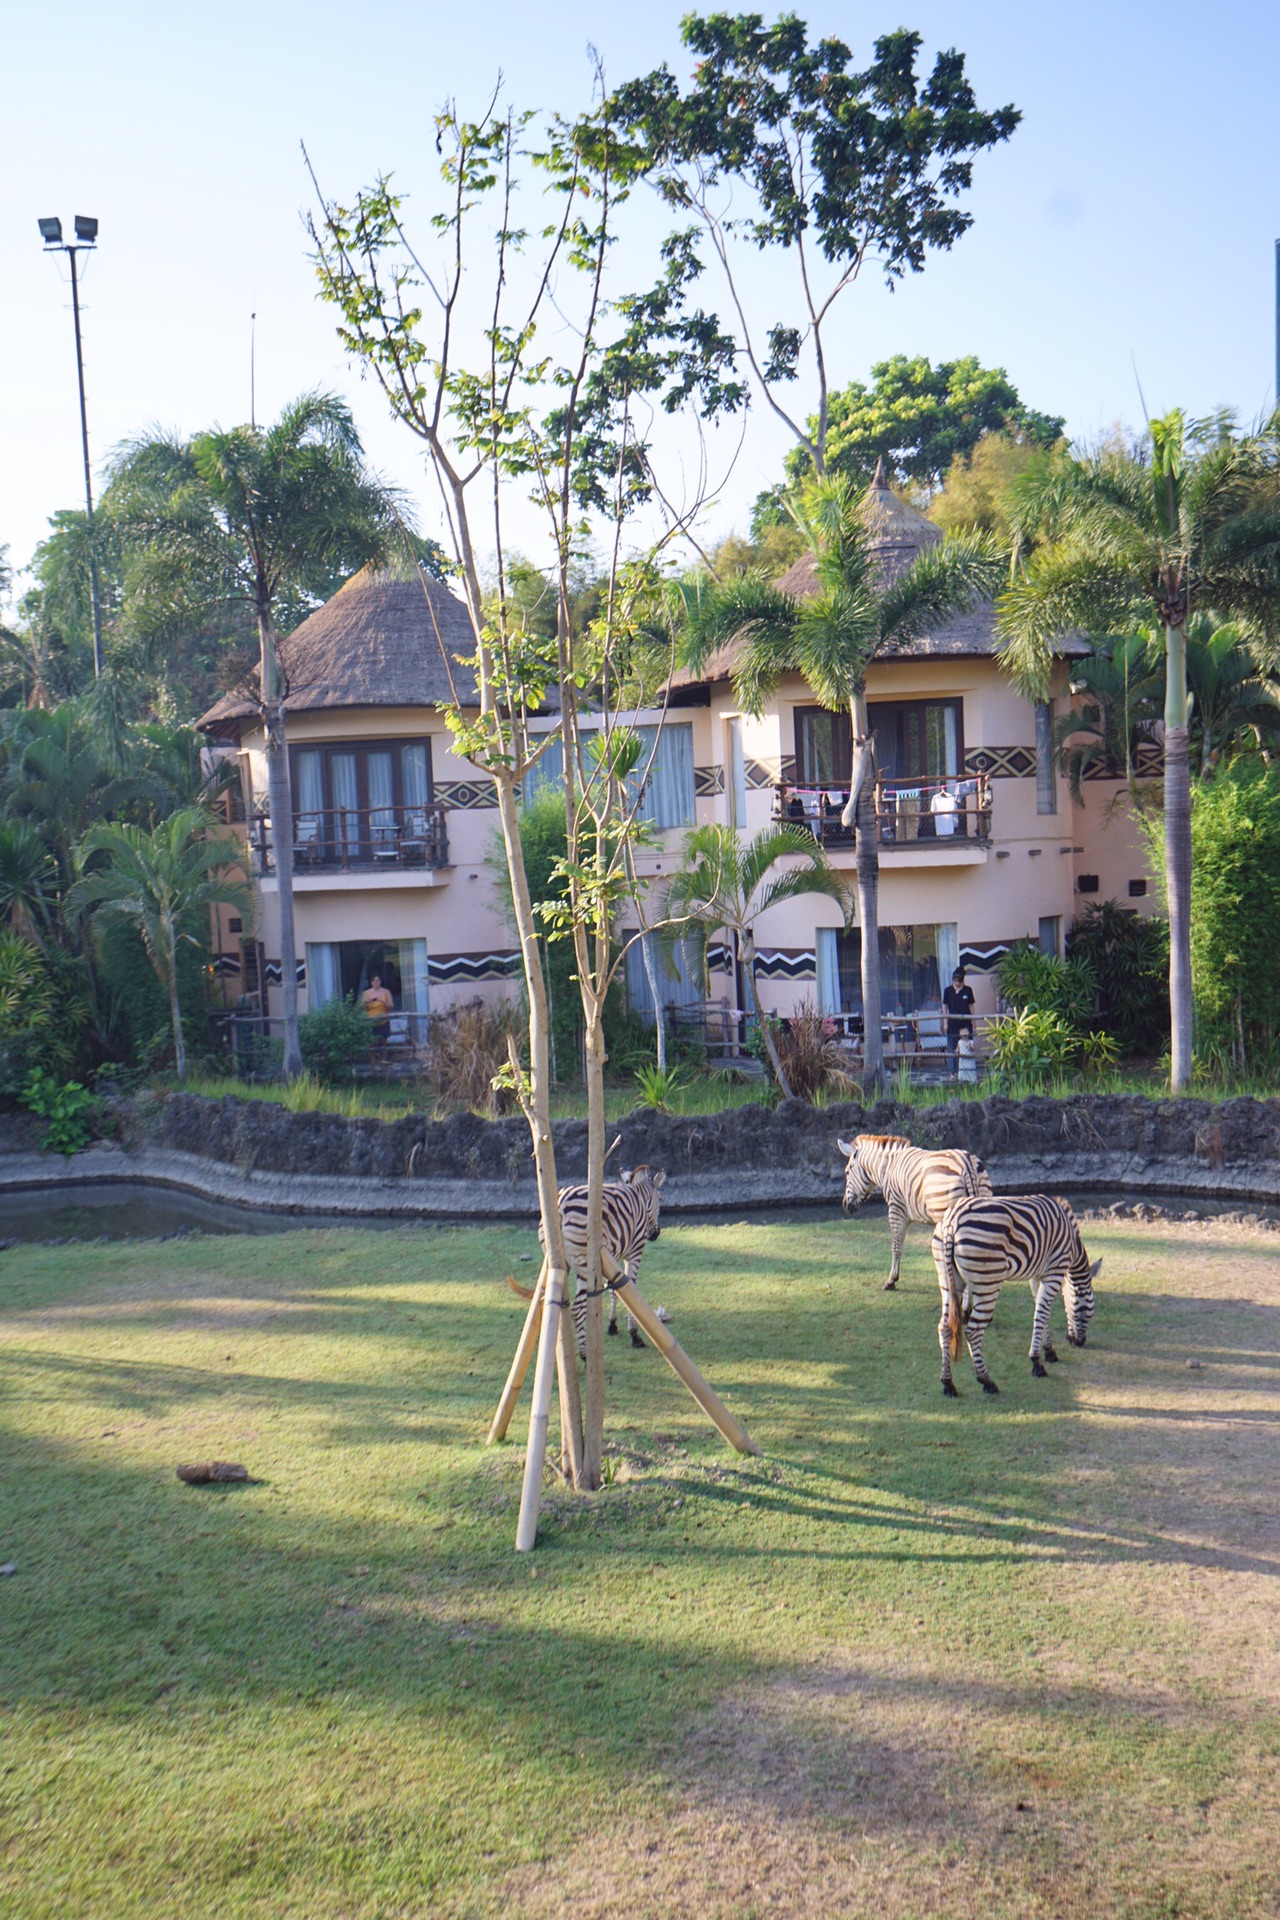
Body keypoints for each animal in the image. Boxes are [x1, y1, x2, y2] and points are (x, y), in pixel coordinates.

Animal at [510, 1159, 671, 1359]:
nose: (656, 1234)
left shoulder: (611, 1257)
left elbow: (614, 1290)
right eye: (660, 1199)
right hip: (586, 1263)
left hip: (560, 1259)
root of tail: (560, 1206)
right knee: (577, 1309)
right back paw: (585, 1354)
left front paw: (612, 1324)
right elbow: (630, 1290)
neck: (639, 1198)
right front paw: (634, 1335)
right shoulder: (635, 1252)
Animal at [836, 1128, 997, 1297]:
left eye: (847, 1172)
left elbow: (896, 1245)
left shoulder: (896, 1210)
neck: (888, 1167)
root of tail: (966, 1164)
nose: (845, 1205)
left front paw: (891, 1281)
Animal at [932, 1182, 1105, 1397]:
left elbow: (1042, 1312)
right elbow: (1041, 1314)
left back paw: (948, 1383)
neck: (1071, 1244)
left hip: (948, 1279)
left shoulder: (1037, 1276)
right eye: (1086, 1309)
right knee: (973, 1331)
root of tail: (952, 1221)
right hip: (989, 1282)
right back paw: (987, 1381)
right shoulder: (1054, 1272)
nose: (1079, 1342)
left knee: (945, 1327)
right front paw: (1037, 1363)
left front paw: (1048, 1351)